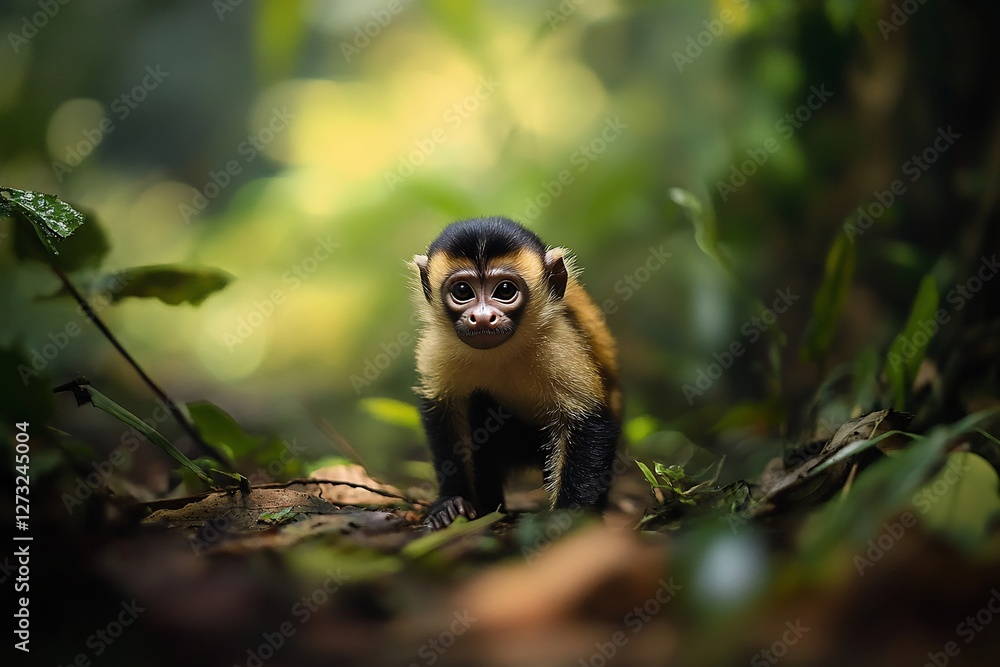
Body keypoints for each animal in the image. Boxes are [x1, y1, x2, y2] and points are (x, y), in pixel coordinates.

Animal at [410, 216, 622, 529]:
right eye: (462, 292)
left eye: (505, 291)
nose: (482, 317)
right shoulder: (439, 347)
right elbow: (445, 407)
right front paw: (452, 502)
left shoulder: (560, 340)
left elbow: (589, 420)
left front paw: (568, 521)